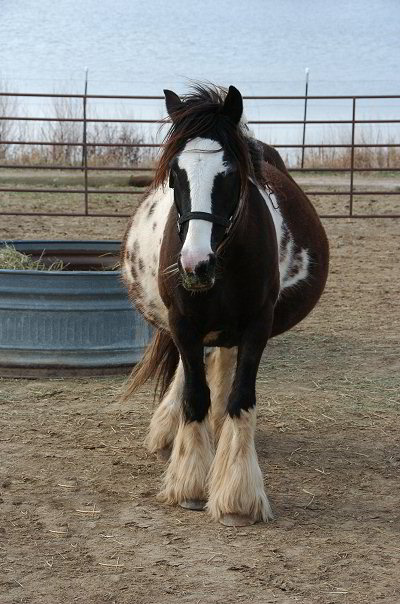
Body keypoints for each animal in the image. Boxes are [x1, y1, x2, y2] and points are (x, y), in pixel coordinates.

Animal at [121, 82, 328, 528]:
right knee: (191, 373)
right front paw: (189, 487)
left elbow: (239, 398)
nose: (195, 264)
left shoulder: (256, 328)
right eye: (175, 174)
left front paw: (236, 497)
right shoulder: (183, 324)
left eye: (229, 175)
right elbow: (195, 396)